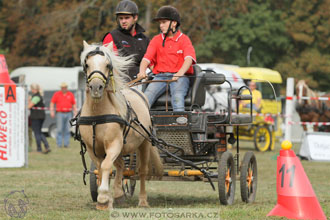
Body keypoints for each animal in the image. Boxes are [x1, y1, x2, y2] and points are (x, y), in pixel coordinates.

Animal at [79, 40, 164, 211]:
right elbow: (100, 168)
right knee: (120, 166)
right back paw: (118, 194)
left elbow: (106, 166)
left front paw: (103, 197)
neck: (97, 115)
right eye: (86, 64)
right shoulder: (93, 148)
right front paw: (104, 200)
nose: (96, 88)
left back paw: (143, 201)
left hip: (144, 143)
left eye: (107, 65)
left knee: (142, 171)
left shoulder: (114, 144)